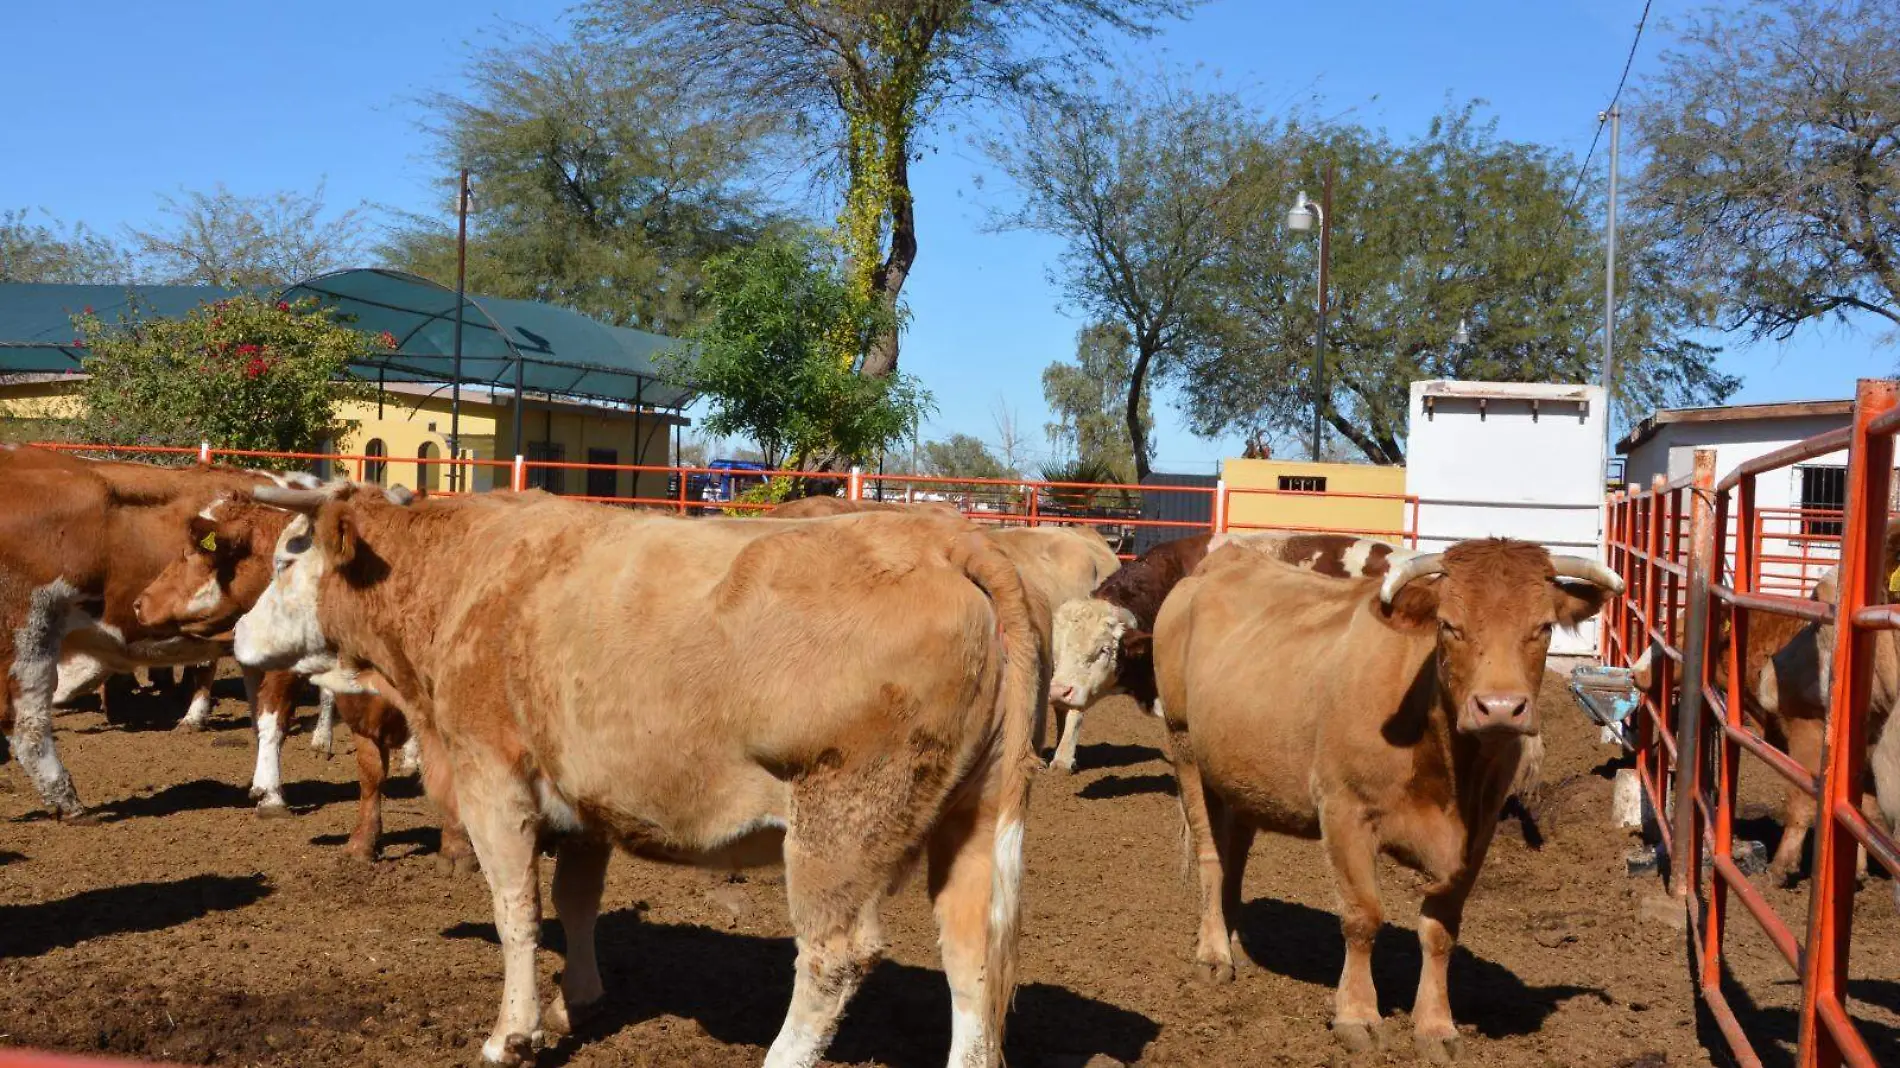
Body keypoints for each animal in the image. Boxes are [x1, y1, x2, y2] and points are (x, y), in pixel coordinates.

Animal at [0, 442, 315, 813]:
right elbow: (273, 717)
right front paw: (272, 794)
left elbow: (260, 715)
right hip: (30, 633)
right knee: (26, 721)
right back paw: (66, 797)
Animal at [233, 484, 1056, 1064]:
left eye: (287, 557)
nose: (237, 634)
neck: (468, 580)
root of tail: (946, 538)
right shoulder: (584, 801)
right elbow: (576, 903)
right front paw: (577, 1003)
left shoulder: (492, 779)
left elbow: (516, 910)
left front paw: (513, 1034)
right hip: (973, 821)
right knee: (971, 956)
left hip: (841, 823)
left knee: (834, 957)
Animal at [1147, 539, 1626, 1056]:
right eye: (1448, 625)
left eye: (1542, 627)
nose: (1500, 708)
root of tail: (1224, 559)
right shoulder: (1344, 811)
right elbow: (1363, 916)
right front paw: (1357, 1015)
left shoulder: (1477, 835)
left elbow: (1440, 929)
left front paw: (1436, 1025)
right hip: (1184, 745)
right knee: (1211, 857)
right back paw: (1213, 953)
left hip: (1239, 775)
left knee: (1234, 855)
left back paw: (1234, 941)